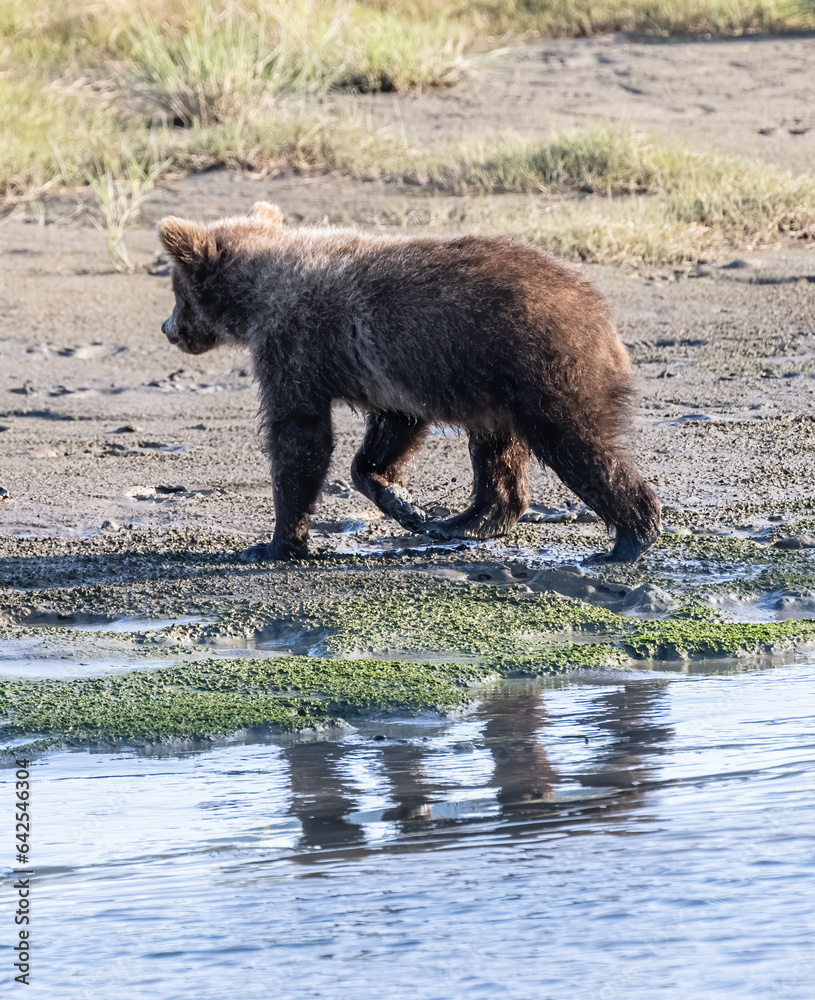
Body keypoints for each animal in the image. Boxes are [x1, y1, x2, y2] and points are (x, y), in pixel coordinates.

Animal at [158, 203, 661, 563]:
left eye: (176, 291)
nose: (168, 329)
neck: (258, 297)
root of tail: (603, 317)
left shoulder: (296, 346)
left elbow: (300, 438)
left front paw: (278, 541)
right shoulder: (387, 372)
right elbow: (390, 432)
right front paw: (403, 502)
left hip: (540, 365)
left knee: (577, 443)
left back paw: (629, 538)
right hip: (494, 383)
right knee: (497, 451)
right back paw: (464, 521)